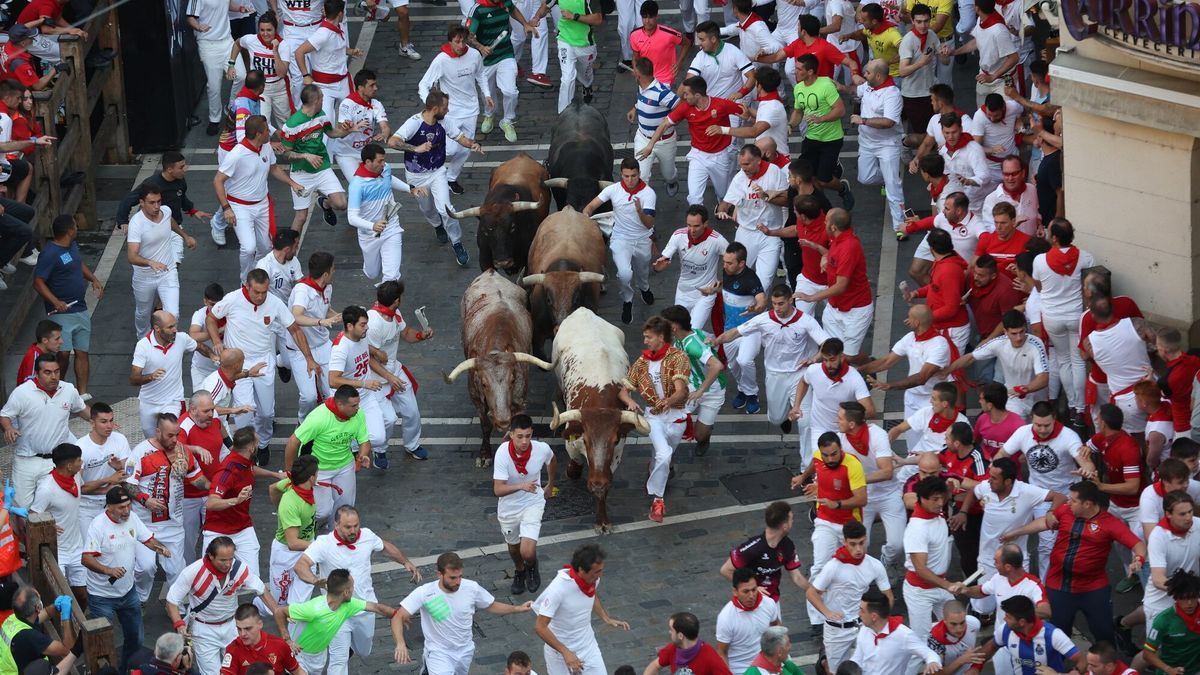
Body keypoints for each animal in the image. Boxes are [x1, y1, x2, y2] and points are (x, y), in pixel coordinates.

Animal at [446, 267, 552, 461]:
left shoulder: (520, 400)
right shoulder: (476, 398)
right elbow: (485, 425)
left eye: (512, 380)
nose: (502, 420)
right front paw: (485, 454)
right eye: (484, 384)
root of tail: (491, 272)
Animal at [549, 306, 648, 530]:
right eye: (585, 440)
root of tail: (582, 310)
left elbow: (605, 485)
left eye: (615, 440)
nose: (596, 481)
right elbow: (575, 463)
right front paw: (573, 471)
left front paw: (602, 519)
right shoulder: (572, 441)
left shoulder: (617, 453)